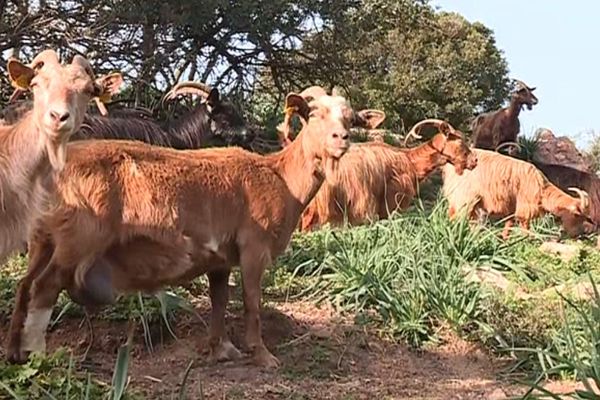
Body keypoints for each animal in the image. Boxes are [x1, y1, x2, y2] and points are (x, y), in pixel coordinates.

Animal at [5, 90, 384, 368]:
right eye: (313, 114)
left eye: (350, 118)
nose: (341, 138)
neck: (279, 177)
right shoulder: (254, 247)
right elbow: (251, 301)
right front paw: (262, 355)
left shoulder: (220, 257)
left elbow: (219, 300)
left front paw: (221, 349)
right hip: (79, 239)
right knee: (43, 287)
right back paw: (38, 355)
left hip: (43, 239)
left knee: (24, 286)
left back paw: (12, 351)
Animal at [440, 148, 596, 239]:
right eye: (576, 215)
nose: (578, 234)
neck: (543, 189)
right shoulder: (525, 206)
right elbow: (525, 225)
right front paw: (525, 240)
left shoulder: (511, 206)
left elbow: (509, 223)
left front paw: (504, 239)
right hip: (465, 197)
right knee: (457, 216)